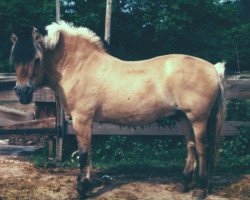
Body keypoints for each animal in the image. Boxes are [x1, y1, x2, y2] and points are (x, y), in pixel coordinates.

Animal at [9, 21, 226, 199]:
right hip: (183, 117)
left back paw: (199, 189)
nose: (21, 92)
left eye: (37, 59)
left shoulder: (82, 119)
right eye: (14, 59)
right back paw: (183, 184)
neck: (77, 66)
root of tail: (214, 69)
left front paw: (82, 188)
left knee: (202, 148)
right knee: (191, 146)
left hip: (198, 119)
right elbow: (88, 152)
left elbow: (84, 152)